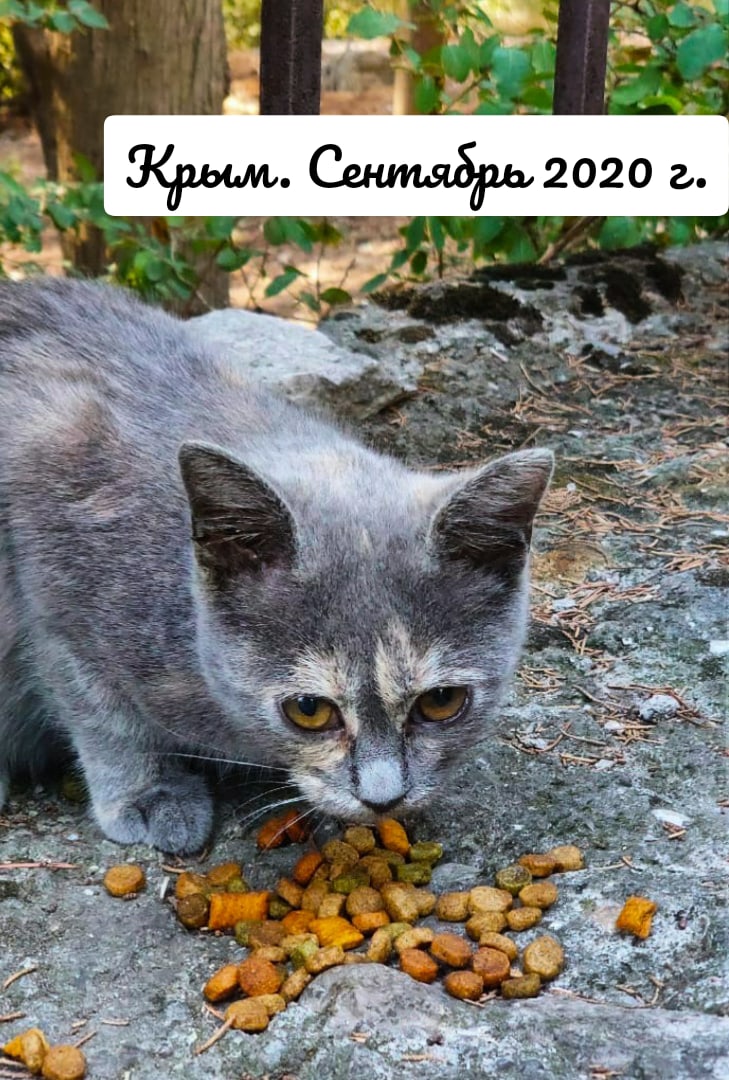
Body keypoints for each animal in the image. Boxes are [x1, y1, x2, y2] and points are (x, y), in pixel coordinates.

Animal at [0, 278, 553, 853]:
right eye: (309, 710)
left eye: (442, 701)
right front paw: (148, 793)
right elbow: (101, 714)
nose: (383, 798)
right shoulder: (55, 586)